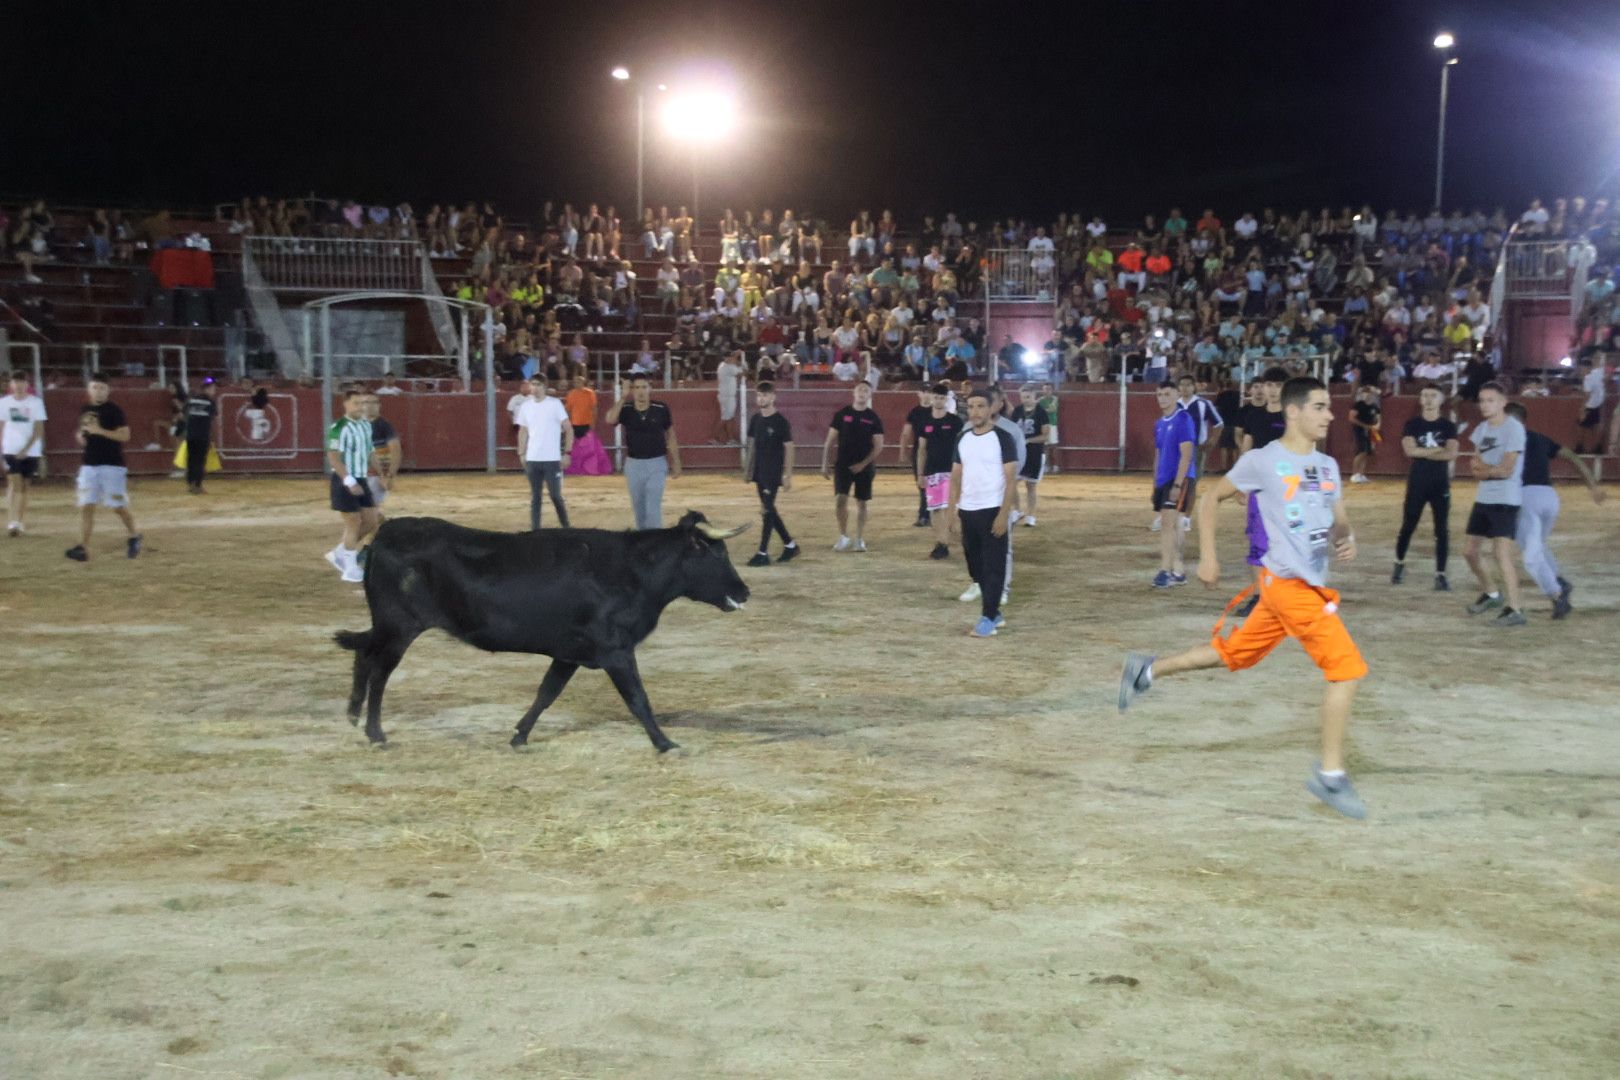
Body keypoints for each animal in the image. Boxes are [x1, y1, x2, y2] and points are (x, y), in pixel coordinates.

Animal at [338, 508, 754, 751]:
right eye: (716, 553)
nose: (744, 592)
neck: (632, 571)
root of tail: (385, 534)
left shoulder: (569, 652)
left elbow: (546, 693)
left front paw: (520, 735)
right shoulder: (616, 650)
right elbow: (638, 698)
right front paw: (665, 742)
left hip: (389, 627)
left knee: (363, 654)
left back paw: (354, 717)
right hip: (399, 627)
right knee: (379, 670)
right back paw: (375, 734)